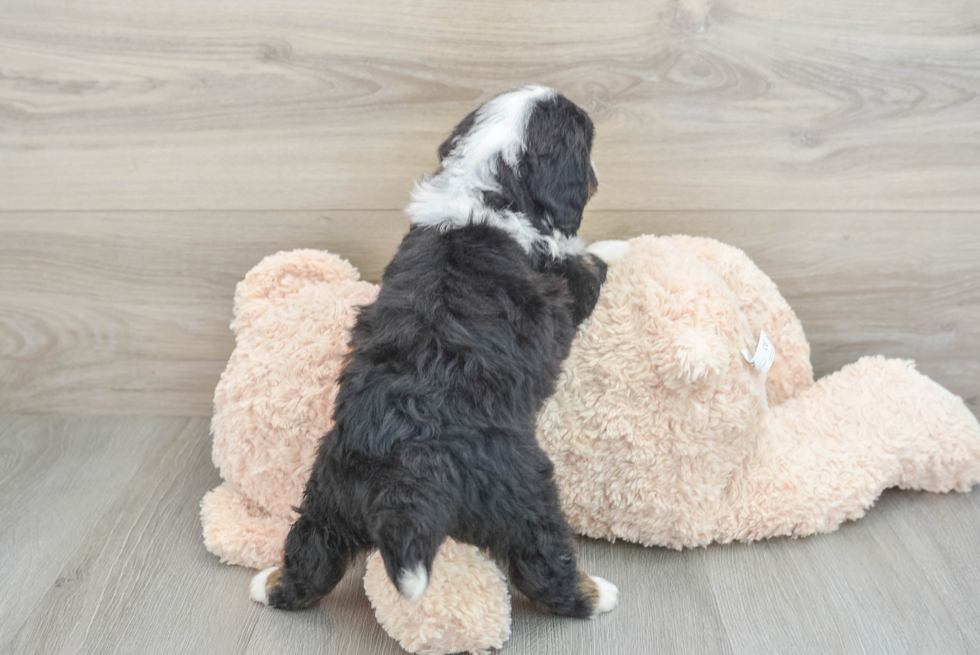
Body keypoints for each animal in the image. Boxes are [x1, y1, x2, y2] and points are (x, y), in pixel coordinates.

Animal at [251, 84, 628, 616]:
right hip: (521, 489)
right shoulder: (566, 286)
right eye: (588, 144)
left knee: (311, 557)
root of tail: (405, 473)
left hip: (330, 492)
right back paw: (596, 594)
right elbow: (590, 261)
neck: (488, 189)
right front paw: (619, 247)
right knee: (542, 564)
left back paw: (267, 583)